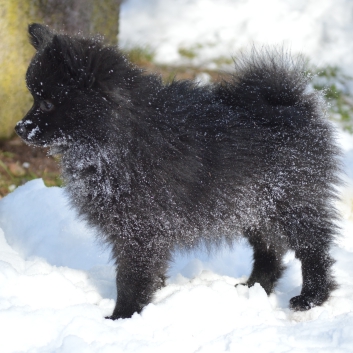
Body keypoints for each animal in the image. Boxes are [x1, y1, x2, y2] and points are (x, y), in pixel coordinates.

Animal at [15, 23, 340, 318]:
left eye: (47, 103)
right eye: (33, 97)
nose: (19, 128)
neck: (118, 138)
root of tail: (290, 103)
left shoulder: (140, 229)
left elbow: (131, 278)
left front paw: (123, 317)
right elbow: (149, 273)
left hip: (291, 204)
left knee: (314, 249)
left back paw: (311, 296)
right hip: (253, 207)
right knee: (270, 251)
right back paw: (254, 288)